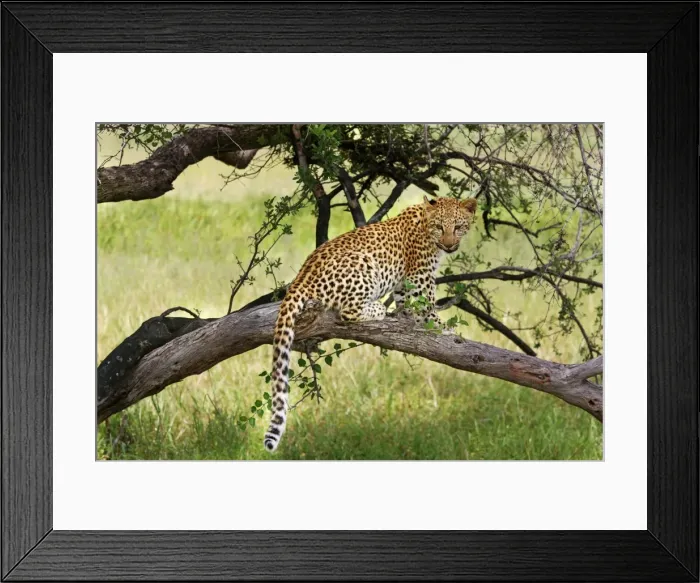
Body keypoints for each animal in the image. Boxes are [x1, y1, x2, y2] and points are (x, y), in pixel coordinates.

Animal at [263, 195, 478, 452]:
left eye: (458, 227)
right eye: (439, 227)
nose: (449, 245)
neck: (427, 228)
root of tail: (300, 280)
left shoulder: (405, 283)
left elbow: (409, 305)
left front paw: (409, 317)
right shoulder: (420, 277)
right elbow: (428, 309)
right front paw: (446, 330)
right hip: (364, 265)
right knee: (346, 312)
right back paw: (379, 309)